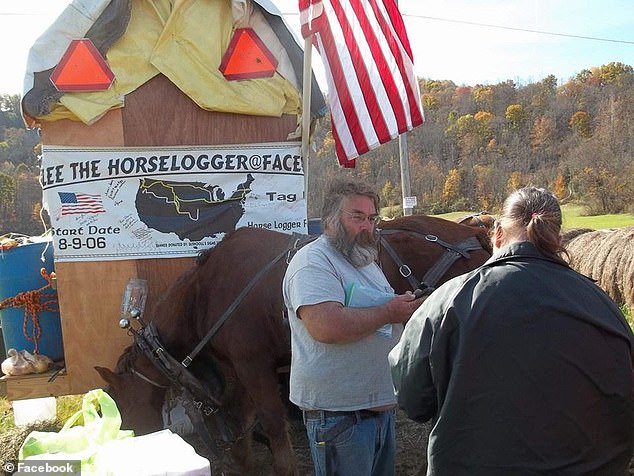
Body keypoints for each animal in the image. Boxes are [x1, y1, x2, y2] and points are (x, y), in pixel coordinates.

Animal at [95, 215, 488, 472]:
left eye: (118, 404)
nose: (130, 445)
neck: (203, 293)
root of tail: (473, 231)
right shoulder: (243, 370)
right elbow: (242, 425)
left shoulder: (253, 366)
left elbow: (271, 425)